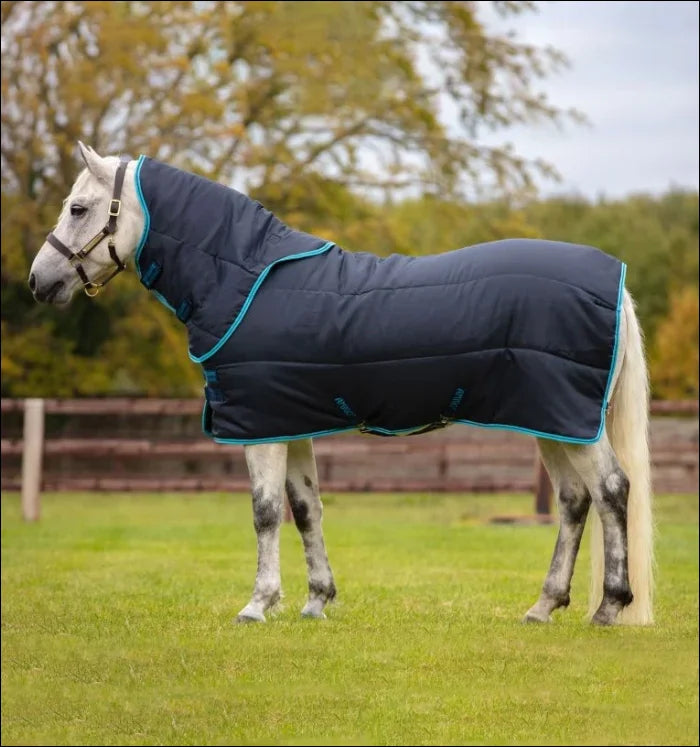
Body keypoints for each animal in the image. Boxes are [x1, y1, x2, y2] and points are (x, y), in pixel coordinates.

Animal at [28, 142, 654, 626]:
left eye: (78, 208)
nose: (39, 281)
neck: (243, 278)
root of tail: (616, 281)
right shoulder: (288, 422)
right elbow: (306, 509)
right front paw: (315, 602)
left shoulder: (259, 427)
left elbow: (264, 512)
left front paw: (258, 605)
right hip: (553, 421)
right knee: (574, 501)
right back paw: (543, 607)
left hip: (568, 420)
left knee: (610, 490)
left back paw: (609, 607)